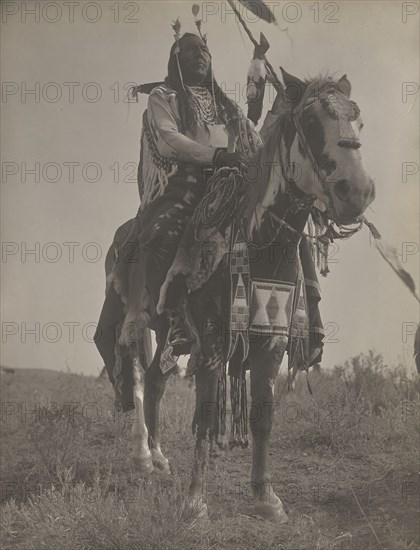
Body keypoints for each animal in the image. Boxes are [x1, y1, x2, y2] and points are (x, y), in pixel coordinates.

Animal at [95, 70, 374, 528]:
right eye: (310, 123)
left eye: (358, 120)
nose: (358, 191)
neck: (261, 240)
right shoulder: (211, 341)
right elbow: (207, 416)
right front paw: (195, 502)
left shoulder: (272, 341)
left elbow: (263, 417)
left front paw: (266, 498)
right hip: (133, 320)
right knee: (133, 375)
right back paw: (142, 456)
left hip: (170, 333)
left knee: (154, 380)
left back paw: (160, 458)